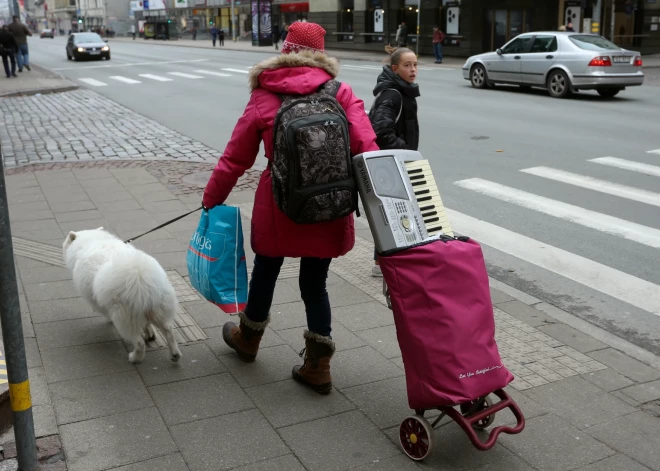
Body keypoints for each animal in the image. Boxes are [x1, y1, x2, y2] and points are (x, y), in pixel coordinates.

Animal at [62, 229, 180, 366]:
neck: (91, 241)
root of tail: (141, 279)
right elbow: (146, 325)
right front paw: (150, 334)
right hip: (159, 308)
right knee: (168, 330)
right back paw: (175, 354)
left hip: (124, 317)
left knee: (139, 342)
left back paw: (134, 358)